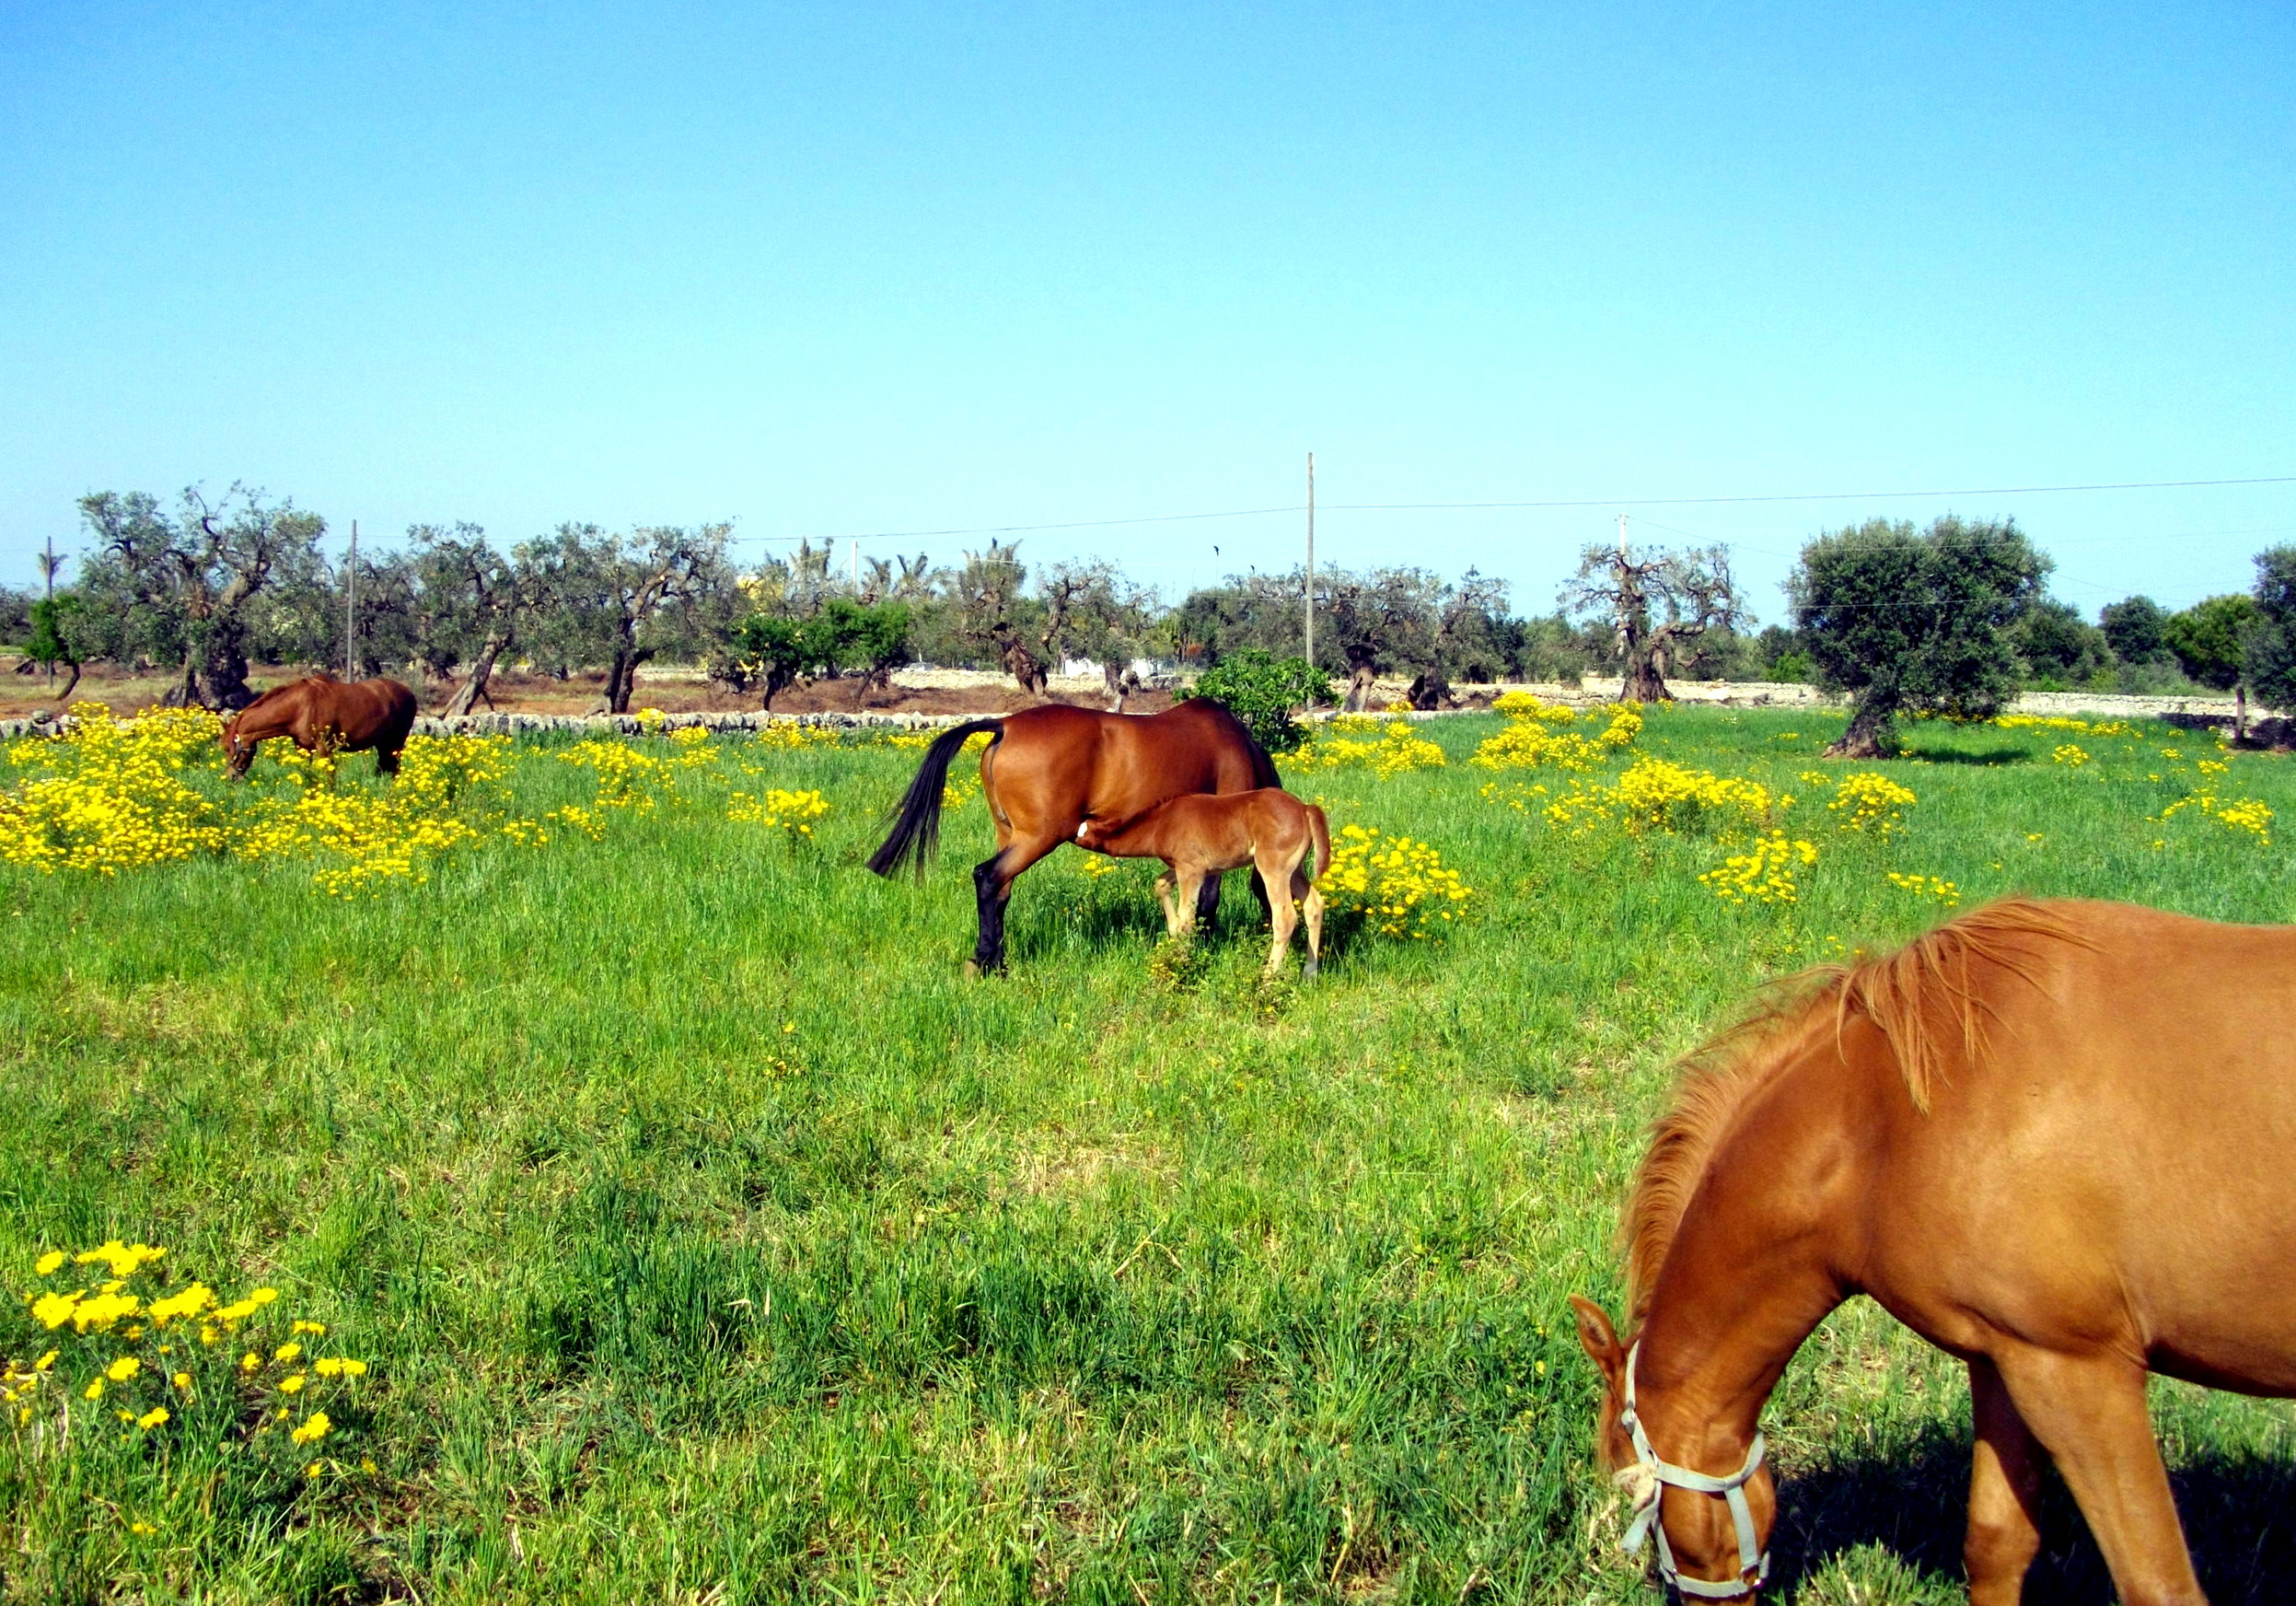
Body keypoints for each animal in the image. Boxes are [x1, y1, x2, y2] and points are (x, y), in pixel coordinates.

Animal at [221, 675, 420, 781]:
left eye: (229, 748)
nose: (230, 777)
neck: (300, 707)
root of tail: (409, 692)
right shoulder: (303, 749)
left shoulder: (325, 748)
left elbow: (328, 776)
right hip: (383, 744)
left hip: (396, 742)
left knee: (395, 769)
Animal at [867, 698, 1285, 973]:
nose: (1276, 931)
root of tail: (1006, 725)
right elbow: (1208, 902)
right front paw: (1202, 950)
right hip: (1038, 838)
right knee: (988, 878)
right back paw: (988, 964)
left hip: (1010, 835)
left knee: (1000, 890)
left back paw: (994, 961)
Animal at [1070, 786, 1331, 973]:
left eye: (1080, 832)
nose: (1066, 834)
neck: (1161, 823)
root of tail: (1305, 808)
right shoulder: (1189, 867)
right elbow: (1161, 885)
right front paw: (1174, 932)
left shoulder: (1191, 869)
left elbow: (1187, 919)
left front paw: (1181, 963)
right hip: (1294, 869)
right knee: (1314, 905)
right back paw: (1310, 972)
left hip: (1273, 868)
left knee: (1285, 918)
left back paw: (1268, 978)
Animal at [1570, 905, 2296, 1606]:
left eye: (1643, 1508)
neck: (1885, 1120)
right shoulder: (2007, 1360)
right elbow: (1997, 1545)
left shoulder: (2082, 1374)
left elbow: (2158, 1584)